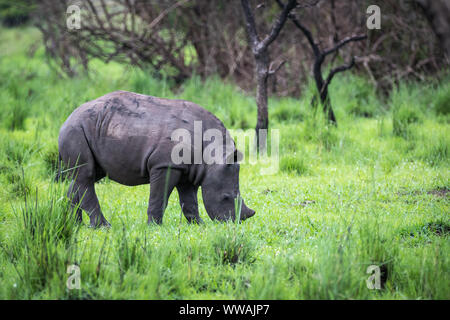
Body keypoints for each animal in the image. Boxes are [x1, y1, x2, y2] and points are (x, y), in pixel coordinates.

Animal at [58, 90, 255, 228]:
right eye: (226, 198)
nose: (233, 223)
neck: (214, 155)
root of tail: (67, 118)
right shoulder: (165, 165)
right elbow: (160, 196)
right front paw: (154, 226)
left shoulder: (190, 169)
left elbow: (189, 200)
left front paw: (199, 225)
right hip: (76, 130)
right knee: (86, 175)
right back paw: (104, 227)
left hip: (91, 129)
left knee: (85, 176)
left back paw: (76, 225)